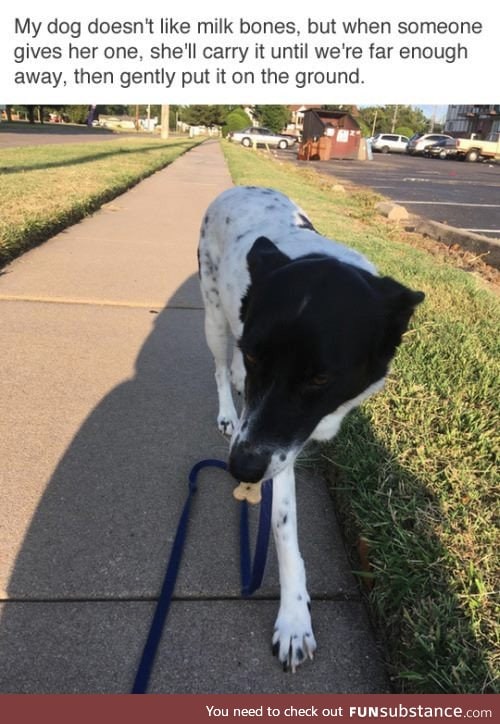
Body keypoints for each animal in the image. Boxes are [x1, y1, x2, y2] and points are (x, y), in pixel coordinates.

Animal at [197, 187, 424, 672]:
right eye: (257, 354)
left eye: (320, 378)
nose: (242, 470)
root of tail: (237, 189)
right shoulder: (273, 443)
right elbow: (284, 529)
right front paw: (294, 620)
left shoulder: (279, 437)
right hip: (214, 313)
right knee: (220, 368)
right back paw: (228, 408)